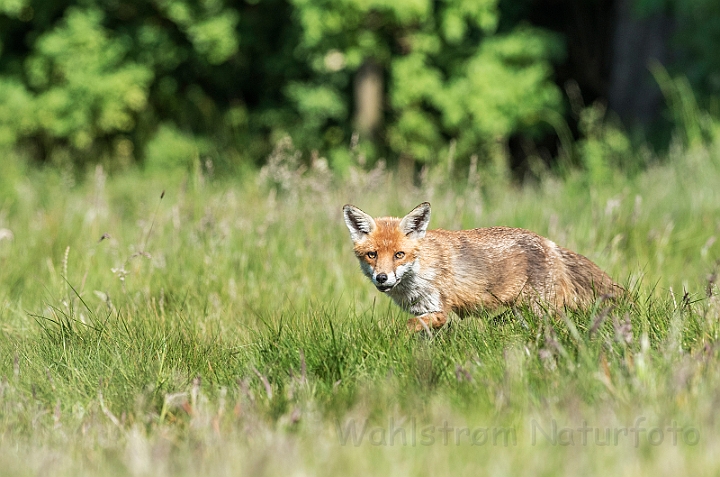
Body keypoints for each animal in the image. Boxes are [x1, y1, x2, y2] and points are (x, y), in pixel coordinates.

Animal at [340, 201, 620, 330]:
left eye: (399, 255)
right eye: (372, 255)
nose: (382, 278)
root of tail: (549, 243)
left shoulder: (440, 311)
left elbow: (405, 327)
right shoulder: (425, 312)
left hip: (540, 310)